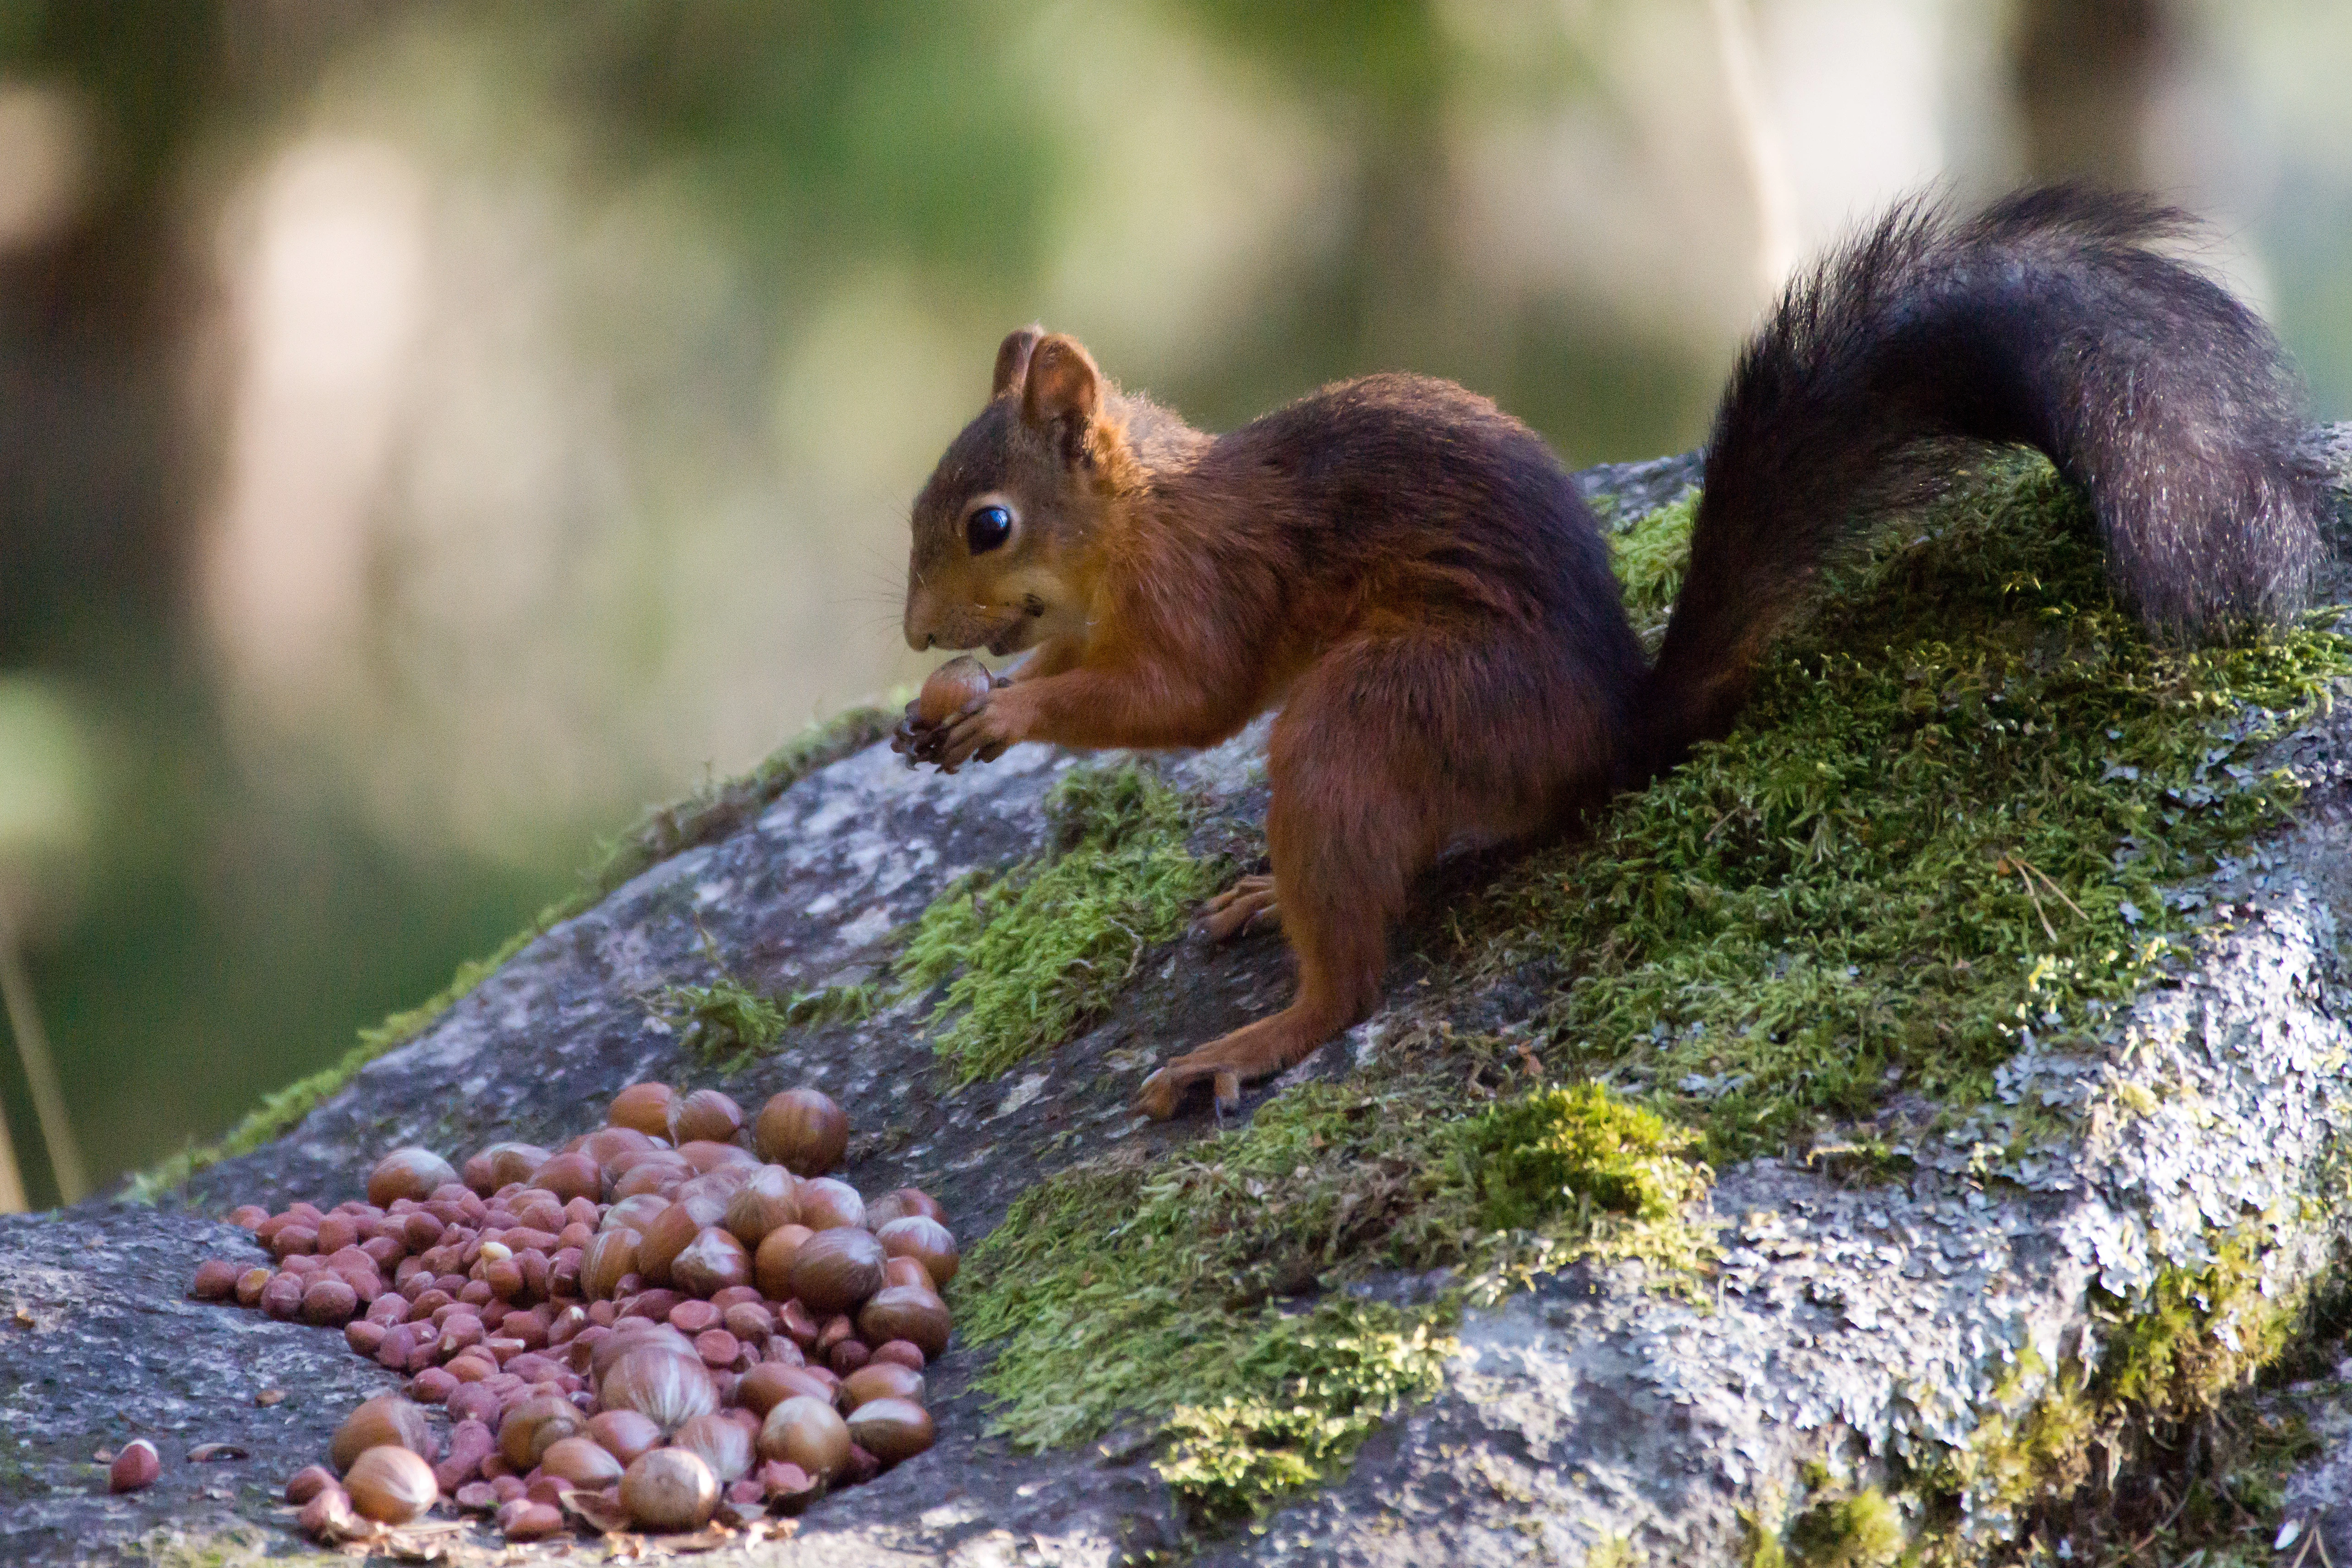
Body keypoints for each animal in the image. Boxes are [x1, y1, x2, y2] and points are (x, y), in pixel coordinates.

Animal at [891, 187, 2326, 1120]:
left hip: (1380, 710)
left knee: (1352, 971)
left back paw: (1260, 1027)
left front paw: (997, 715)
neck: (1138, 516)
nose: (912, 634)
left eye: (987, 523)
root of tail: (1612, 729)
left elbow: (1180, 701)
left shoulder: (1203, 593)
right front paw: (945, 715)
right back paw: (1259, 896)